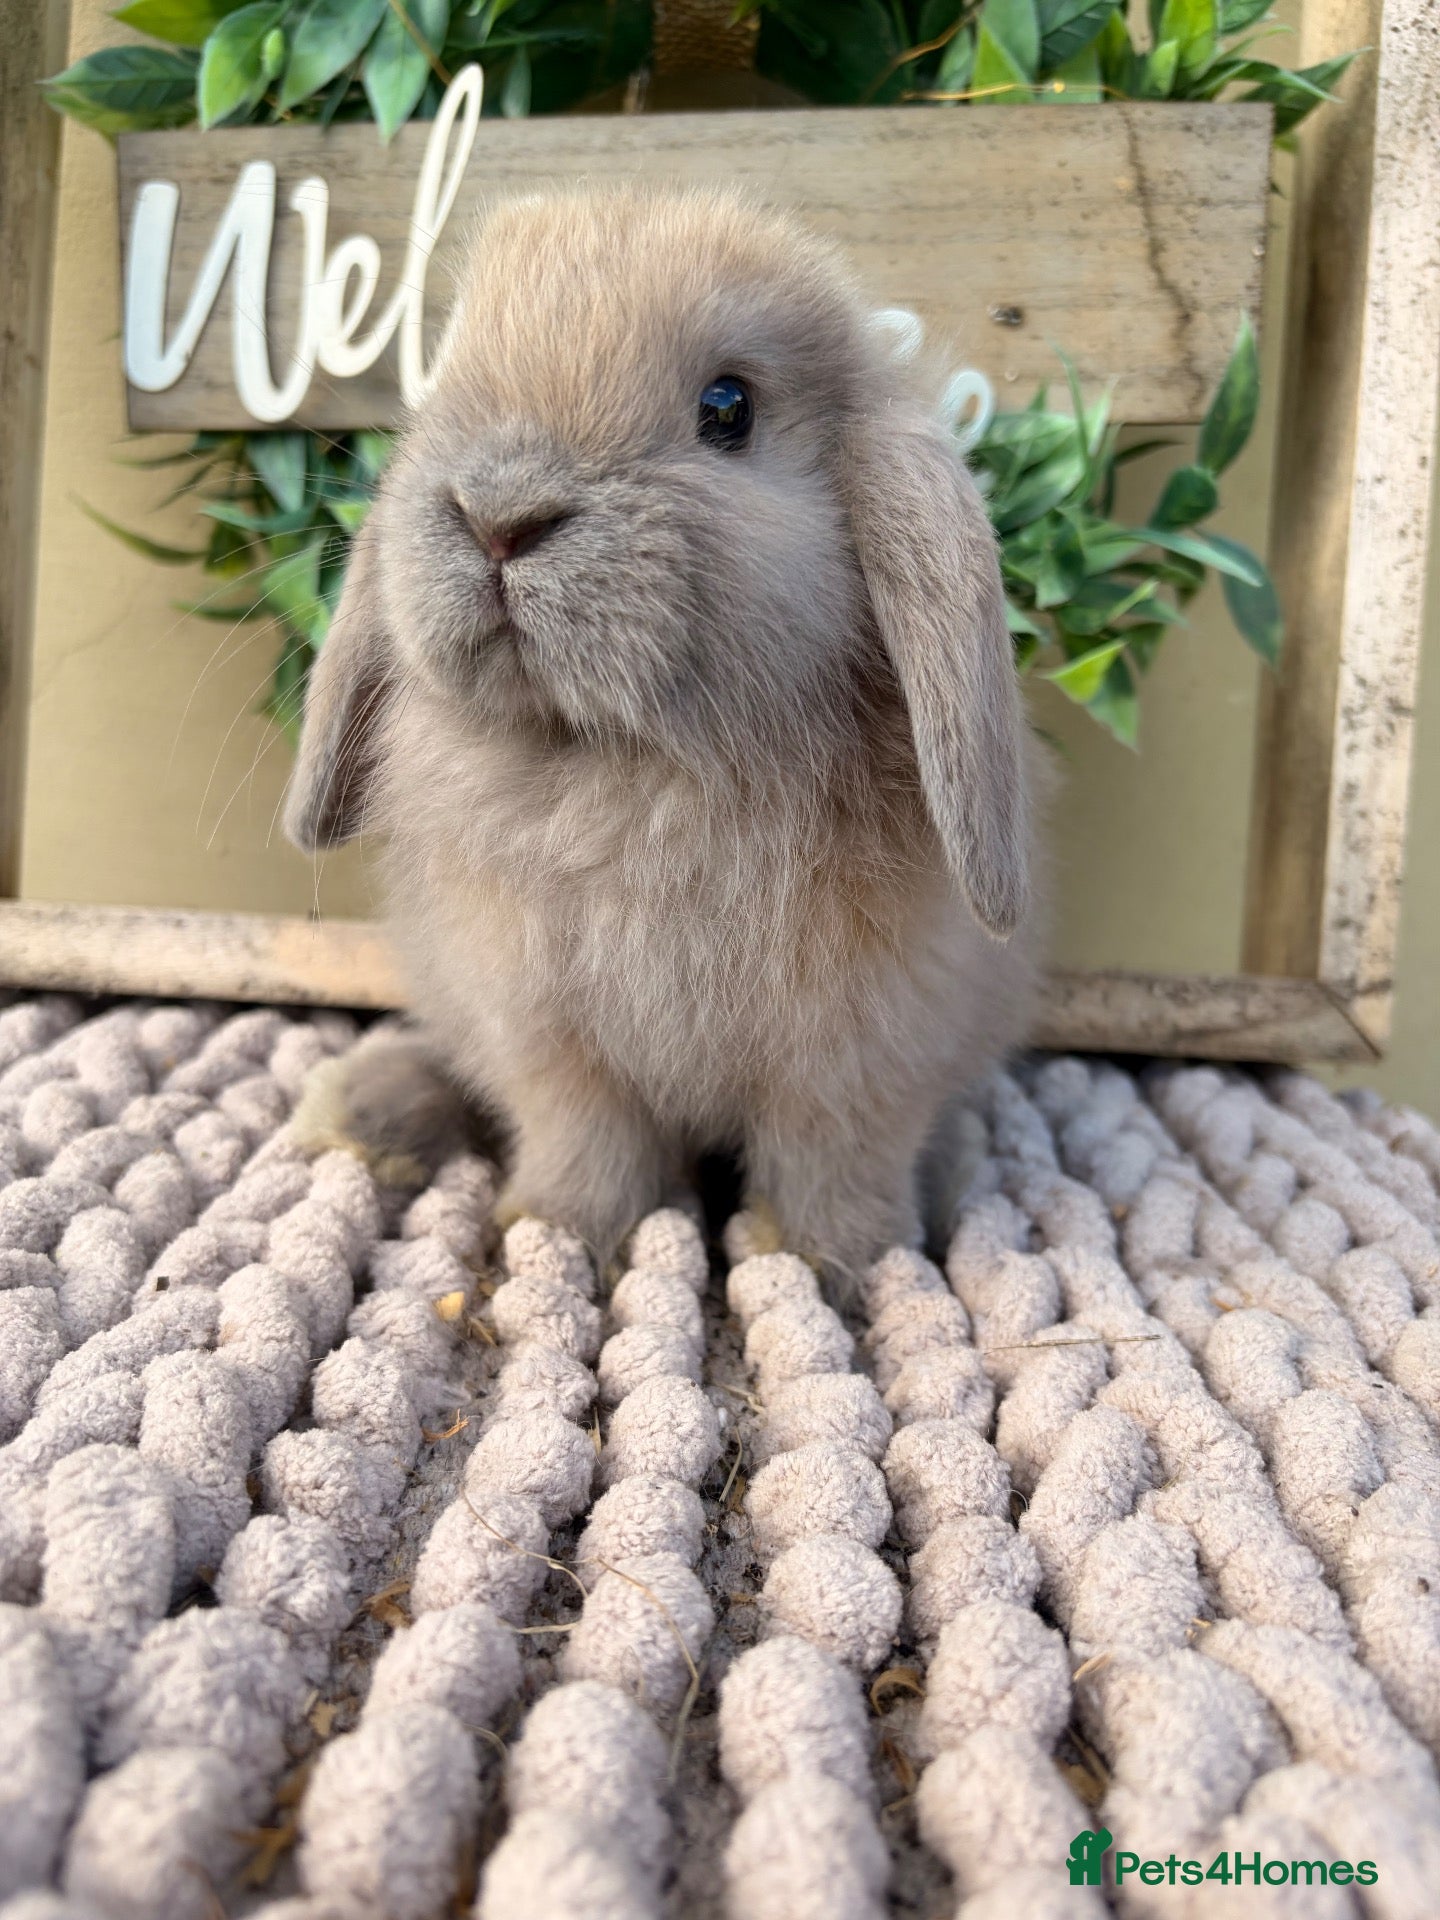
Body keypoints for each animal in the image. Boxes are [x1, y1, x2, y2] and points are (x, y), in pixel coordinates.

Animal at [284, 183, 1041, 1281]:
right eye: (444, 377)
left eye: (728, 409)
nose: (499, 516)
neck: (624, 764)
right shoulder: (545, 1030)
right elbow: (585, 1135)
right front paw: (555, 1232)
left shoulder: (862, 1048)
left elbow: (833, 1156)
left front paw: (830, 1261)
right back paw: (360, 1112)